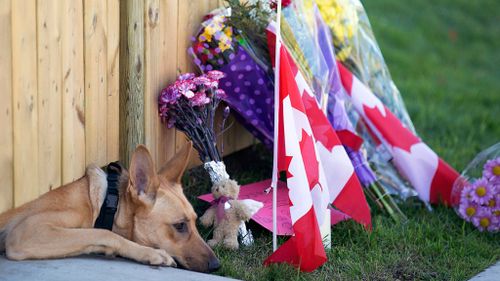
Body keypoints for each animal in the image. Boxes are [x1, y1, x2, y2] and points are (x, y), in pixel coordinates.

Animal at [0, 142, 219, 272]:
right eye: (180, 225)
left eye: (195, 221)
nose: (217, 265)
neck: (106, 204)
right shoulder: (27, 231)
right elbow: (104, 233)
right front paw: (149, 253)